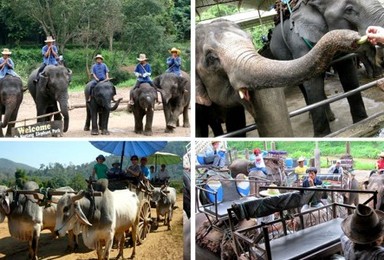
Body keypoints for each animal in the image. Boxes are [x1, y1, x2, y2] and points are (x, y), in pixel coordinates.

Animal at [266, 0, 384, 136]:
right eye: (349, 9)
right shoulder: (299, 45)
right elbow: (312, 83)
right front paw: (323, 135)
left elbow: (348, 74)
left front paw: (362, 121)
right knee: (302, 85)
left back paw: (330, 116)